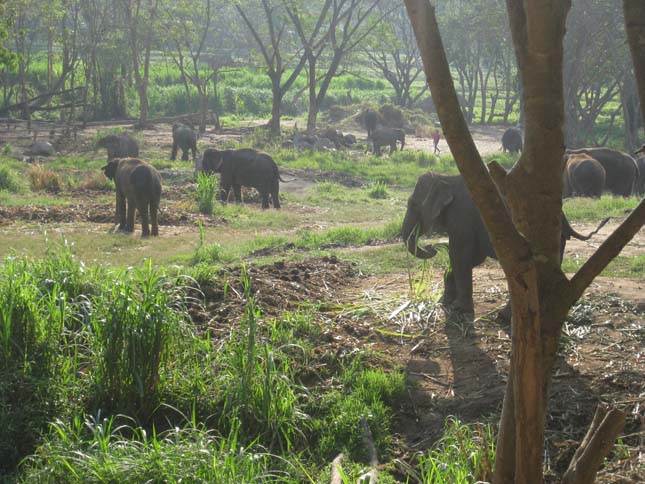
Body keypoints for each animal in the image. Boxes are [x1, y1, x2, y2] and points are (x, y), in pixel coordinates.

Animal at [400, 172, 608, 316]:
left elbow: (460, 256)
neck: (446, 178)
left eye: (412, 205)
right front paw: (444, 302)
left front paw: (459, 309)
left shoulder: (462, 218)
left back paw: (506, 317)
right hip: (556, 240)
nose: (431, 248)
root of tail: (564, 219)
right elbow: (472, 258)